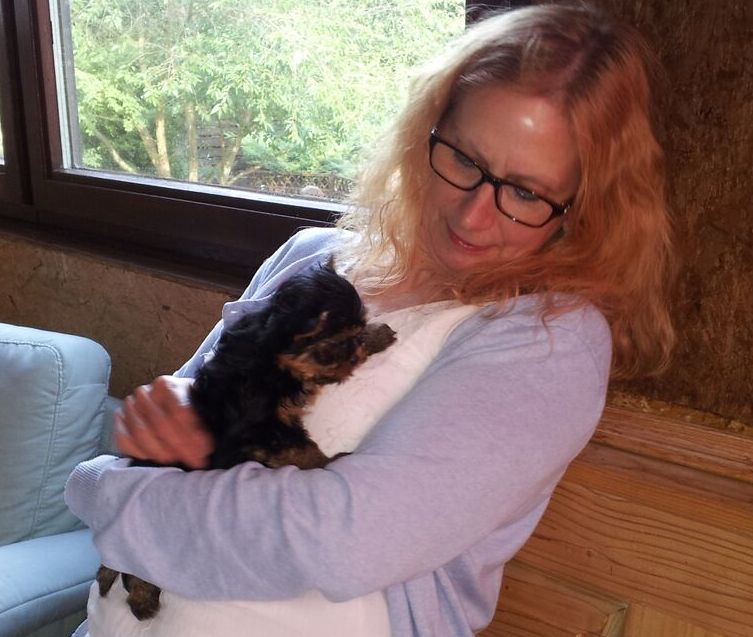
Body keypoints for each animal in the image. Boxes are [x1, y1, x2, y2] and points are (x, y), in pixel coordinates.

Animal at [96, 259, 396, 620]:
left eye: (353, 335)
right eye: (334, 346)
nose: (352, 356)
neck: (272, 352)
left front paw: (376, 336)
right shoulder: (264, 426)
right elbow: (302, 448)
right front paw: (328, 462)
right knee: (134, 566)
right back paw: (143, 600)